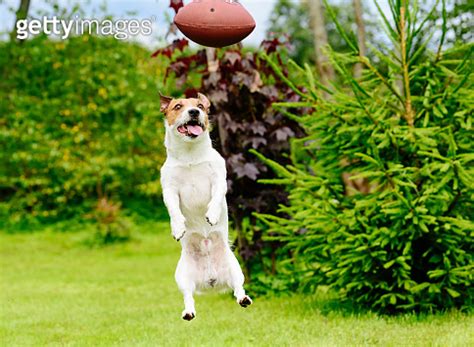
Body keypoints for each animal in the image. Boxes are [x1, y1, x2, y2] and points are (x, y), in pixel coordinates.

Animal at [159, 92, 252, 320]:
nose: (194, 112)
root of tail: (211, 281)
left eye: (200, 106)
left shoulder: (219, 179)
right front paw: (178, 228)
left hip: (235, 269)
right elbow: (173, 209)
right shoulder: (169, 189)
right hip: (182, 276)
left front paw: (212, 214)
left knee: (238, 288)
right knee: (188, 296)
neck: (190, 156)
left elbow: (216, 196)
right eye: (178, 106)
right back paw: (188, 312)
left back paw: (244, 299)